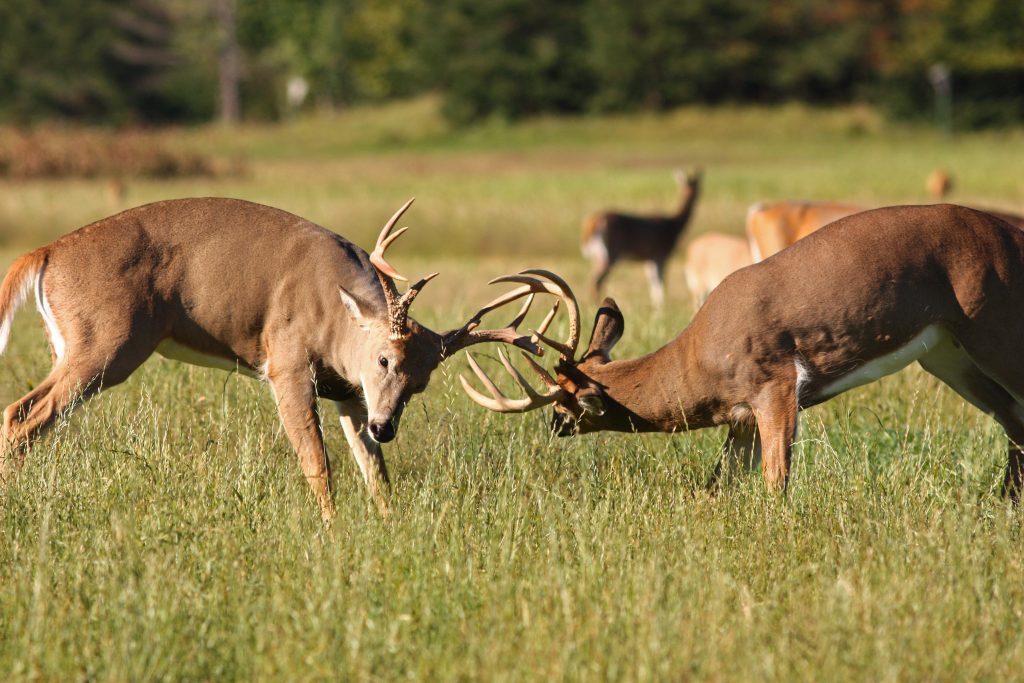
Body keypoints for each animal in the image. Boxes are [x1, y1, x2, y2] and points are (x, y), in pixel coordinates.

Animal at [0, 197, 577, 524]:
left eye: (422, 381)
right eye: (385, 359)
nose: (388, 425)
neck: (337, 313)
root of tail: (44, 253)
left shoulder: (349, 394)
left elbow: (374, 468)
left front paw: (390, 525)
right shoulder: (286, 362)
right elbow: (317, 461)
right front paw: (332, 530)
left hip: (68, 345)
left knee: (27, 414)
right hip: (104, 344)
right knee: (23, 413)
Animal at [466, 205, 1024, 499]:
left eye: (563, 397)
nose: (553, 425)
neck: (698, 363)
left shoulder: (775, 384)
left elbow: (777, 481)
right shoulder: (741, 416)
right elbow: (718, 483)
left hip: (993, 325)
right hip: (947, 353)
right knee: (1012, 419)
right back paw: (1004, 501)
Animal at [581, 169, 700, 309]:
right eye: (696, 186)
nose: (694, 195)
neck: (674, 225)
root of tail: (592, 223)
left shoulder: (650, 259)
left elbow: (654, 283)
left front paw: (657, 307)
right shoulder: (661, 255)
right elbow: (660, 283)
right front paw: (661, 307)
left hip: (599, 255)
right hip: (611, 252)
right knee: (596, 280)